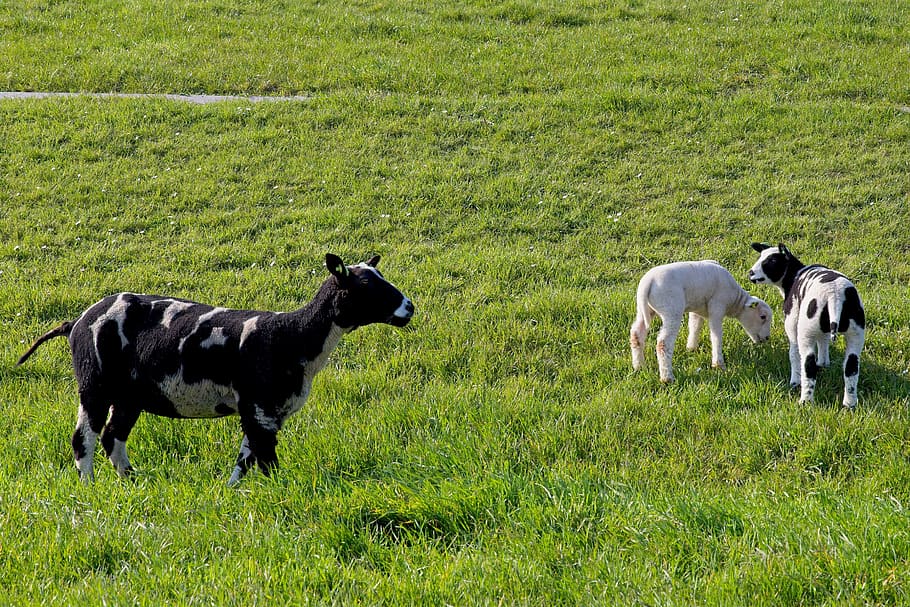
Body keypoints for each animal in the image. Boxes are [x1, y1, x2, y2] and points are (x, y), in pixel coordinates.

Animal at [17, 254, 414, 484]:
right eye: (366, 284)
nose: (409, 307)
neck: (294, 336)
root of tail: (76, 322)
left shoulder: (263, 410)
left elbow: (246, 457)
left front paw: (233, 491)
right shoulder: (259, 405)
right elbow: (265, 459)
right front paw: (277, 493)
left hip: (131, 393)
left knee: (113, 435)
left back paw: (132, 480)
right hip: (94, 381)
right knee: (84, 437)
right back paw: (89, 486)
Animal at [630, 260, 772, 383]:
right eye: (762, 317)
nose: (767, 338)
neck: (735, 301)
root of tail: (648, 282)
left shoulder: (697, 309)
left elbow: (694, 326)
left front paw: (691, 348)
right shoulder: (717, 306)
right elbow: (716, 336)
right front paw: (718, 365)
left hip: (644, 310)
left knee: (636, 334)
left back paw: (639, 366)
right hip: (671, 309)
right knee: (663, 344)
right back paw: (667, 378)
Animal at [749, 243, 865, 408]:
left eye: (771, 261)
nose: (750, 273)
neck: (793, 276)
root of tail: (835, 296)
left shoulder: (791, 322)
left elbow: (793, 354)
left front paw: (794, 380)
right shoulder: (822, 330)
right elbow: (823, 341)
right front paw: (824, 363)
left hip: (806, 331)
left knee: (808, 364)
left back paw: (805, 401)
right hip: (856, 332)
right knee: (851, 366)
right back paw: (849, 404)